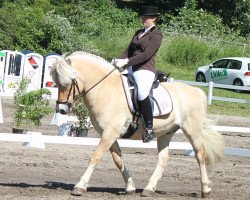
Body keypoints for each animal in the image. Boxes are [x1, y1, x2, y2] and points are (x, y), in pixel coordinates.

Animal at [50, 50, 225, 198]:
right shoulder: (109, 134)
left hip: (192, 130)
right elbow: (118, 160)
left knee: (200, 154)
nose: (61, 109)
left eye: (69, 82)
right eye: (56, 82)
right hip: (166, 132)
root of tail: (197, 91)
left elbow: (95, 157)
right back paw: (148, 189)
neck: (106, 90)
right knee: (163, 159)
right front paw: (130, 187)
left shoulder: (109, 133)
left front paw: (80, 186)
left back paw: (205, 189)